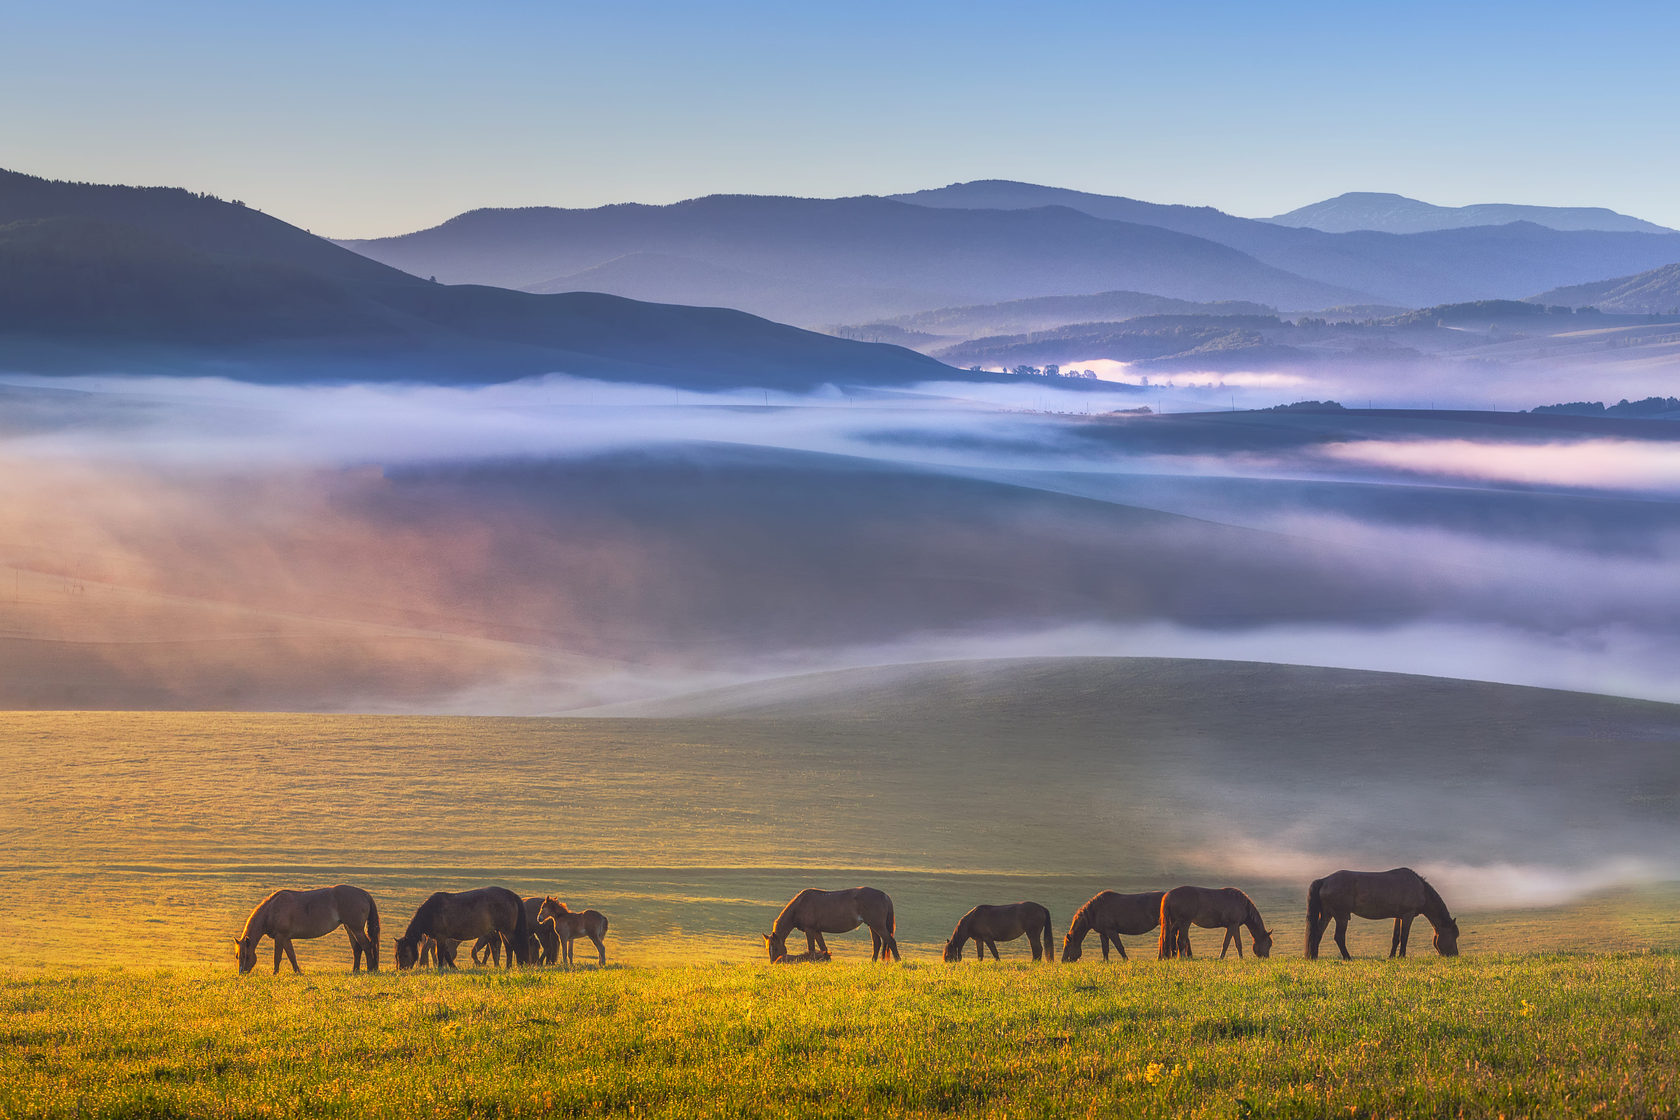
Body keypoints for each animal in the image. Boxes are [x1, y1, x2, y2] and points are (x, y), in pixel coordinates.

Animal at [233, 886, 378, 973]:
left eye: (246, 955)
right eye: (237, 956)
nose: (242, 973)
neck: (272, 909)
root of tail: (365, 894)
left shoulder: (280, 937)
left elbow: (277, 956)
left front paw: (275, 973)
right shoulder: (286, 938)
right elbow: (291, 955)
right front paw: (297, 972)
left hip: (356, 929)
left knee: (366, 945)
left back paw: (370, 969)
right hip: (349, 928)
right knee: (357, 948)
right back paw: (355, 971)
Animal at [391, 886, 527, 973]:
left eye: (404, 954)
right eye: (396, 955)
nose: (401, 970)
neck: (431, 911)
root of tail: (511, 895)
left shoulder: (440, 937)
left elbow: (440, 954)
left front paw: (440, 968)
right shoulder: (441, 938)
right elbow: (446, 954)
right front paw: (453, 967)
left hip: (507, 931)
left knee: (513, 946)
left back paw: (517, 965)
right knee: (507, 948)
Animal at [762, 886, 900, 967]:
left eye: (775, 948)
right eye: (768, 948)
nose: (774, 963)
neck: (800, 905)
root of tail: (884, 896)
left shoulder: (809, 930)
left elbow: (811, 948)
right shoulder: (817, 931)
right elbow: (823, 947)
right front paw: (827, 960)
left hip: (878, 925)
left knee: (891, 941)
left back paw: (898, 961)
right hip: (873, 925)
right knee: (877, 943)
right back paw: (873, 962)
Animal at [1310, 866, 1458, 967]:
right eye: (1454, 935)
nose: (1455, 955)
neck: (1420, 889)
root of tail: (1324, 880)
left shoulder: (1398, 917)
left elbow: (1396, 937)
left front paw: (1392, 956)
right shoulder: (1408, 915)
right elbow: (1404, 937)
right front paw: (1402, 956)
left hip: (1327, 915)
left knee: (1317, 933)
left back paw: (1314, 957)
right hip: (1341, 917)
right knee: (1339, 937)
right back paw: (1348, 958)